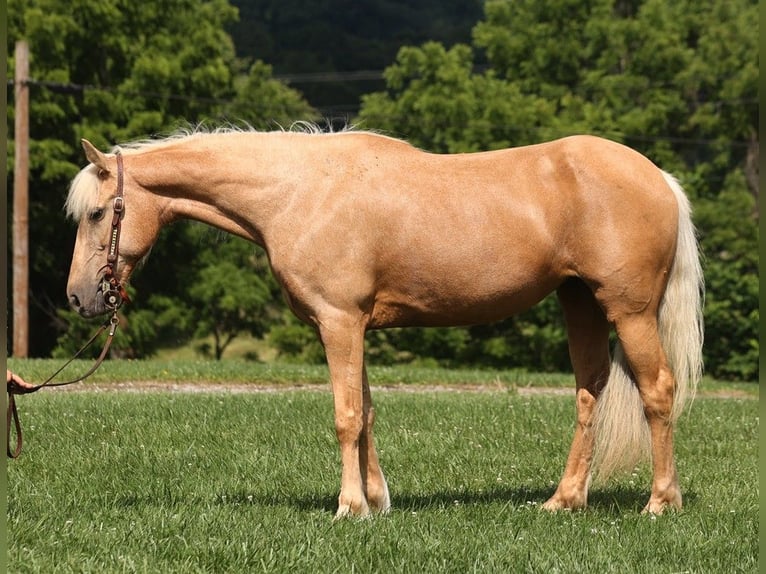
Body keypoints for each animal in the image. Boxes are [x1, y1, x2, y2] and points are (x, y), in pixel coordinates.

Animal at [65, 127, 703, 518]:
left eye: (97, 214)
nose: (78, 298)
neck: (298, 193)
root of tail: (660, 178)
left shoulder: (338, 323)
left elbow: (346, 416)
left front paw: (348, 507)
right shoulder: (355, 327)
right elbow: (367, 412)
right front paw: (376, 502)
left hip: (629, 312)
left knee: (657, 391)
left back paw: (659, 502)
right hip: (580, 304)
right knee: (589, 392)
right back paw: (564, 501)